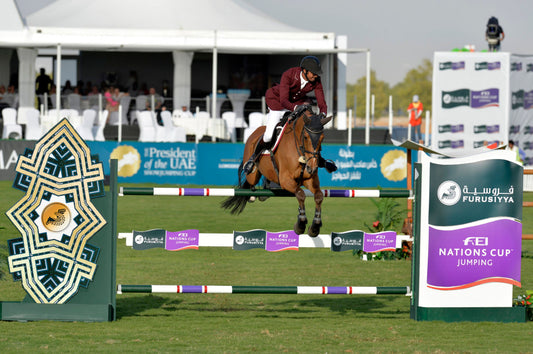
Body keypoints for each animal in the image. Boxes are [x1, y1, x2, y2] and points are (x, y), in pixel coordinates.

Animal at [219, 106, 328, 236]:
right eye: (306, 136)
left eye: (322, 138)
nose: (312, 167)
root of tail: (256, 132)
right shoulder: (286, 180)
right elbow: (301, 194)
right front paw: (300, 224)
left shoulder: (309, 179)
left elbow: (319, 196)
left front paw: (315, 226)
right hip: (253, 173)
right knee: (250, 181)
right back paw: (252, 191)